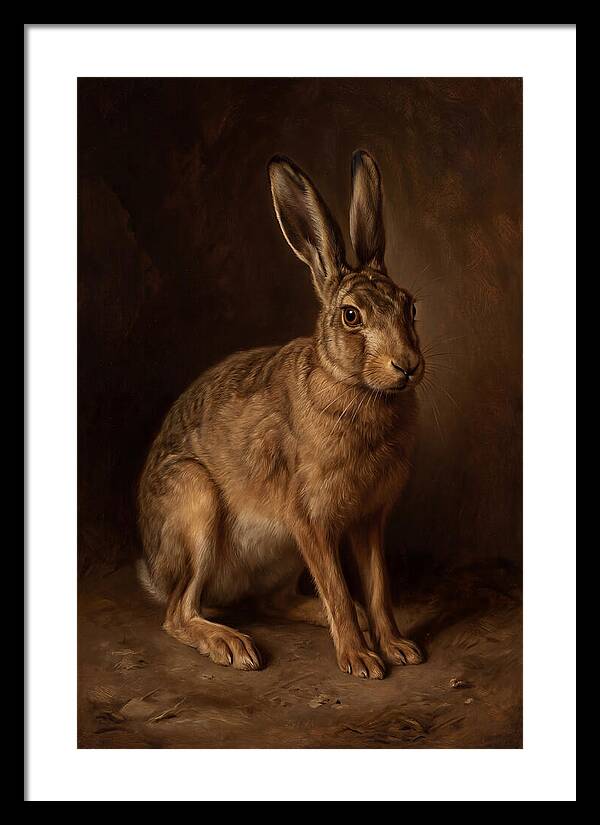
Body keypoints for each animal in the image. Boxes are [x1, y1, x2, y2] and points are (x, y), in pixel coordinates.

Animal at [137, 150, 425, 679]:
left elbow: (378, 589)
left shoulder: (368, 520)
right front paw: (361, 660)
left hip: (281, 556)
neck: (355, 387)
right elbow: (337, 586)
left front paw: (396, 647)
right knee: (178, 612)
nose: (407, 365)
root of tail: (155, 568)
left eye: (410, 307)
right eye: (351, 316)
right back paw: (231, 645)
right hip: (195, 503)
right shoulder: (308, 518)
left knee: (274, 602)